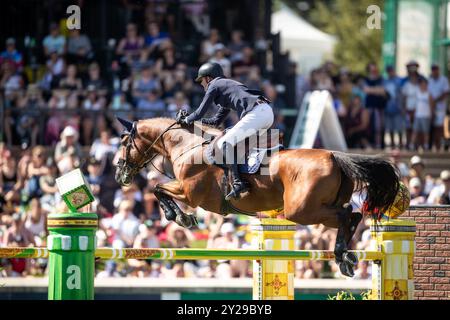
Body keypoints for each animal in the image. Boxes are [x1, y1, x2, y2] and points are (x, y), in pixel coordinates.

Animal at [114, 117, 400, 278]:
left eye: (125, 142)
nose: (119, 173)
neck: (188, 145)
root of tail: (334, 156)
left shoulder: (189, 192)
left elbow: (158, 188)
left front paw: (180, 217)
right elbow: (158, 189)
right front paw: (180, 217)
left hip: (302, 211)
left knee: (347, 214)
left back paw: (342, 254)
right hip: (316, 209)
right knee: (352, 215)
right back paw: (346, 258)